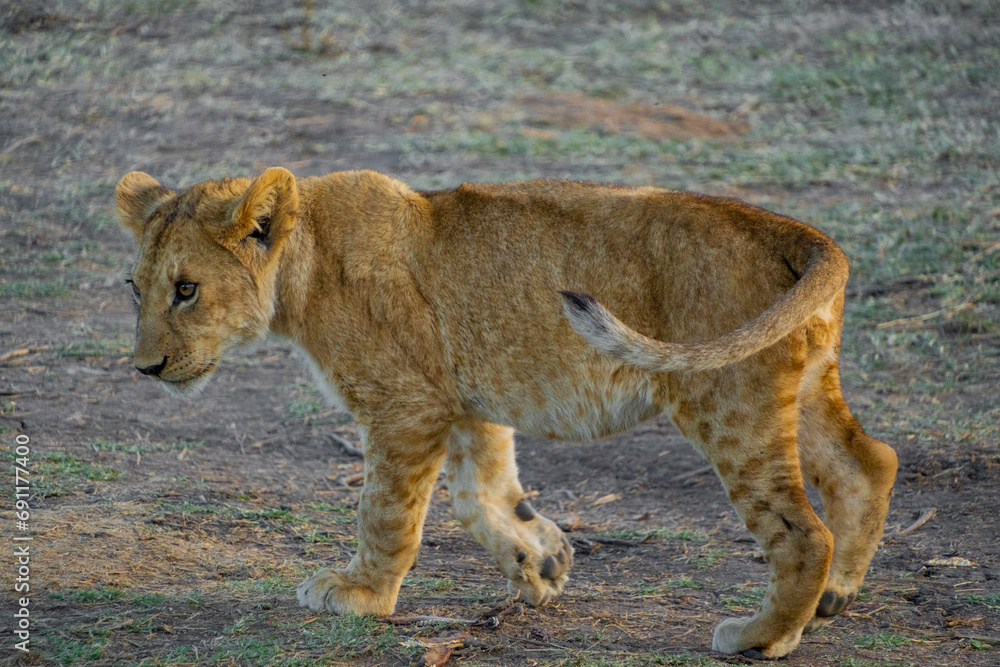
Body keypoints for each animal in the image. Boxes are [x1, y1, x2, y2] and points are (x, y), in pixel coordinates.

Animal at [115, 167, 897, 659]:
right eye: (136, 288)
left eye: (186, 289)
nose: (144, 368)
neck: (303, 267)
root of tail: (789, 229)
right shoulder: (466, 396)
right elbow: (482, 493)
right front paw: (543, 561)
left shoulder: (405, 404)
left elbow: (387, 510)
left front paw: (361, 592)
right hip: (800, 386)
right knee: (869, 462)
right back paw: (836, 596)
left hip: (725, 399)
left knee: (802, 529)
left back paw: (763, 635)